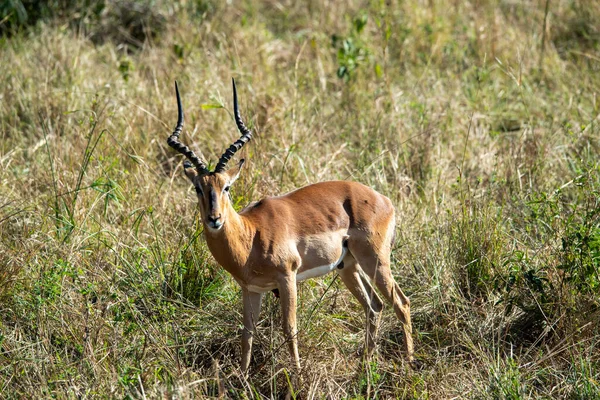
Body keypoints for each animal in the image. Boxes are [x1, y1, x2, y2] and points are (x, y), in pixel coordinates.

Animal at [166, 79, 414, 374]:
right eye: (197, 188)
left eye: (226, 187)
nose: (215, 219)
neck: (251, 236)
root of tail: (383, 198)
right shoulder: (251, 289)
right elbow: (247, 333)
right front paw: (243, 378)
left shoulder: (287, 277)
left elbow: (289, 328)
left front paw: (297, 378)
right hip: (348, 266)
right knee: (374, 307)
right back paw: (365, 365)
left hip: (375, 260)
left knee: (401, 302)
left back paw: (410, 363)